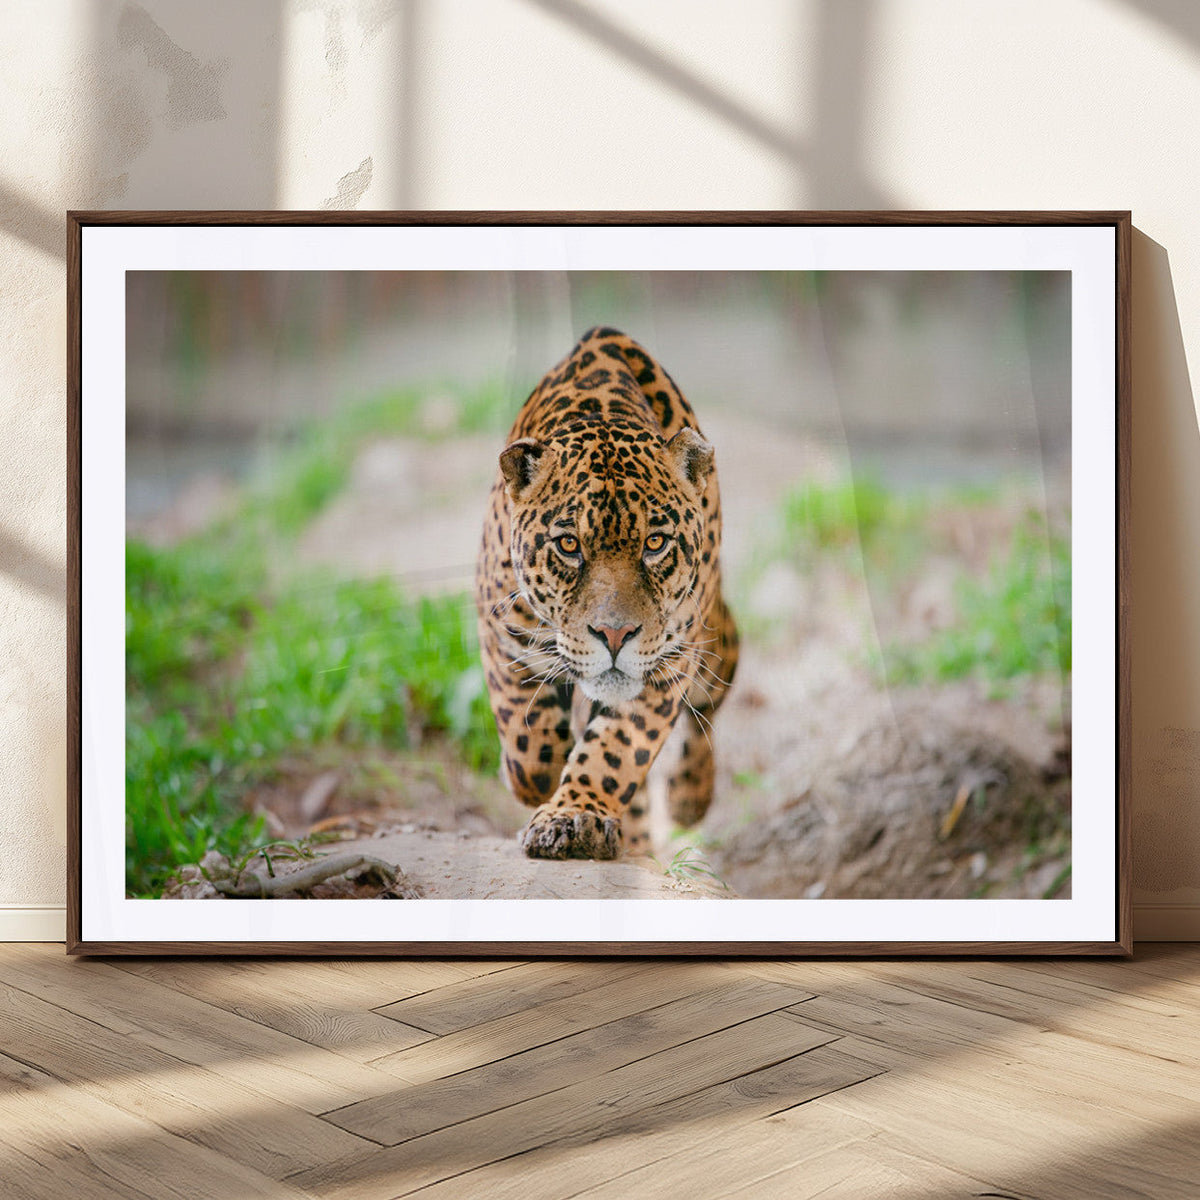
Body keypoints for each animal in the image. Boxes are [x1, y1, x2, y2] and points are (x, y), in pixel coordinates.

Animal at [475, 326, 739, 860]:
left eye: (655, 543)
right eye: (569, 545)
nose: (614, 636)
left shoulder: (667, 662)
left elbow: (615, 750)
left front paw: (574, 816)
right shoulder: (501, 630)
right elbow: (527, 742)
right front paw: (537, 781)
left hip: (713, 643)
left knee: (712, 696)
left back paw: (689, 798)